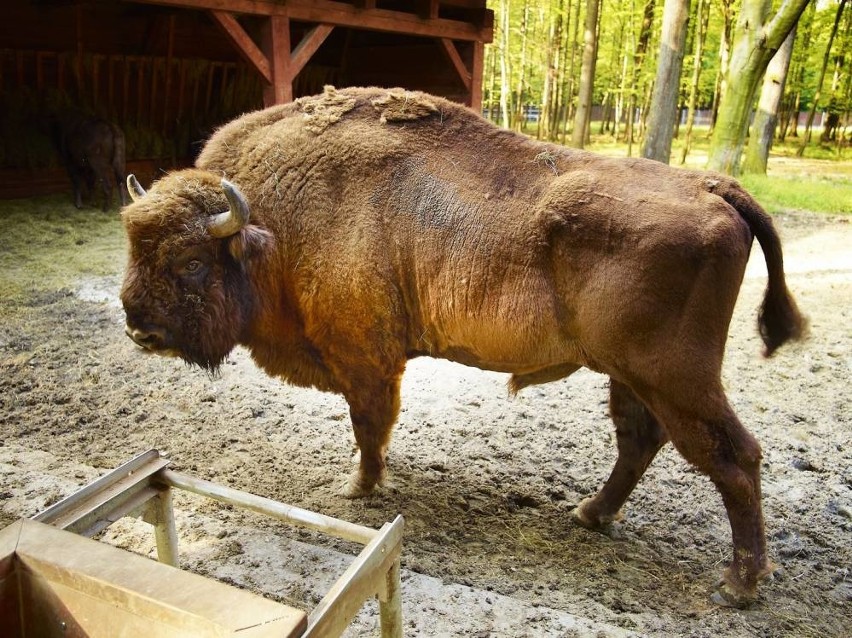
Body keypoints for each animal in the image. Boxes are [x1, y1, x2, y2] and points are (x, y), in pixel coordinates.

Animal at [120, 86, 804, 608]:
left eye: (190, 262)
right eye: (133, 247)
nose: (137, 327)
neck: (267, 228)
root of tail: (714, 187)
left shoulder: (365, 360)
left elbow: (368, 423)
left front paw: (358, 488)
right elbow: (373, 425)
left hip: (676, 377)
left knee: (735, 457)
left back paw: (738, 585)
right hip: (629, 374)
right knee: (640, 440)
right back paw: (589, 514)